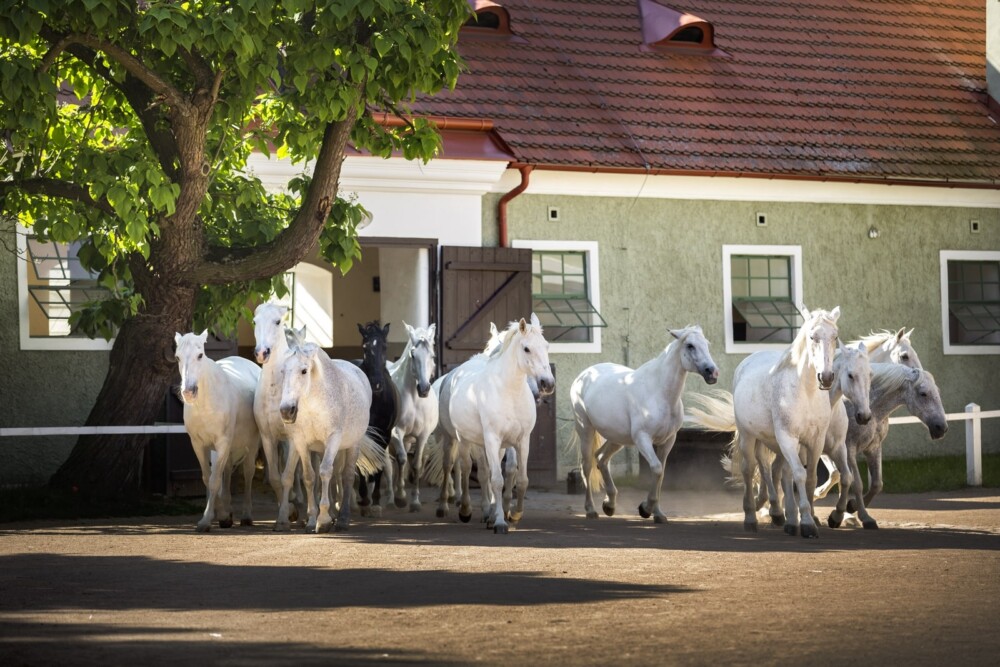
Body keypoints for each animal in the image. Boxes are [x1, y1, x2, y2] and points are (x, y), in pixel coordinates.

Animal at [174, 331, 262, 532]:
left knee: (248, 474)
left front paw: (206, 520)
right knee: (227, 471)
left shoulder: (222, 442)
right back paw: (228, 511)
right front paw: (222, 515)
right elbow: (209, 478)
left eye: (200, 355)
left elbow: (214, 482)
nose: (188, 392)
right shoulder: (199, 444)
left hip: (251, 445)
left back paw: (246, 515)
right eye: (177, 357)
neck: (206, 403)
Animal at [276, 342, 384, 533]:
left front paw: (324, 519)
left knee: (347, 476)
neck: (314, 404)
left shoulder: (333, 439)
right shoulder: (301, 442)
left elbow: (325, 471)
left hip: (352, 445)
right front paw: (312, 520)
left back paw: (343, 518)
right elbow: (309, 477)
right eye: (283, 371)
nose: (287, 410)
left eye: (304, 371)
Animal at [387, 322, 438, 512]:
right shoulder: (396, 433)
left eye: (432, 355)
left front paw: (415, 501)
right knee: (388, 466)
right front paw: (401, 497)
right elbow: (402, 459)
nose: (423, 389)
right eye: (413, 355)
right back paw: (390, 498)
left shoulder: (422, 436)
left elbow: (416, 465)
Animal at [439, 314, 554, 534]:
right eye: (526, 348)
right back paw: (464, 510)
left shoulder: (521, 441)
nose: (548, 383)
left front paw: (515, 515)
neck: (509, 392)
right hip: (462, 439)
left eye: (546, 346)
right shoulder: (492, 439)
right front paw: (500, 521)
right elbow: (497, 480)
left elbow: (521, 479)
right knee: (465, 469)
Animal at [569, 325, 719, 524]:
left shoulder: (668, 441)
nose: (712, 372)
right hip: (585, 429)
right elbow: (656, 468)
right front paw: (645, 509)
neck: (659, 392)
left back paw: (609, 505)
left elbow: (661, 473)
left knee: (601, 458)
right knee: (587, 466)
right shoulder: (643, 439)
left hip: (617, 438)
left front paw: (658, 514)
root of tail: (583, 375)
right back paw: (591, 510)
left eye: (707, 344)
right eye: (690, 345)